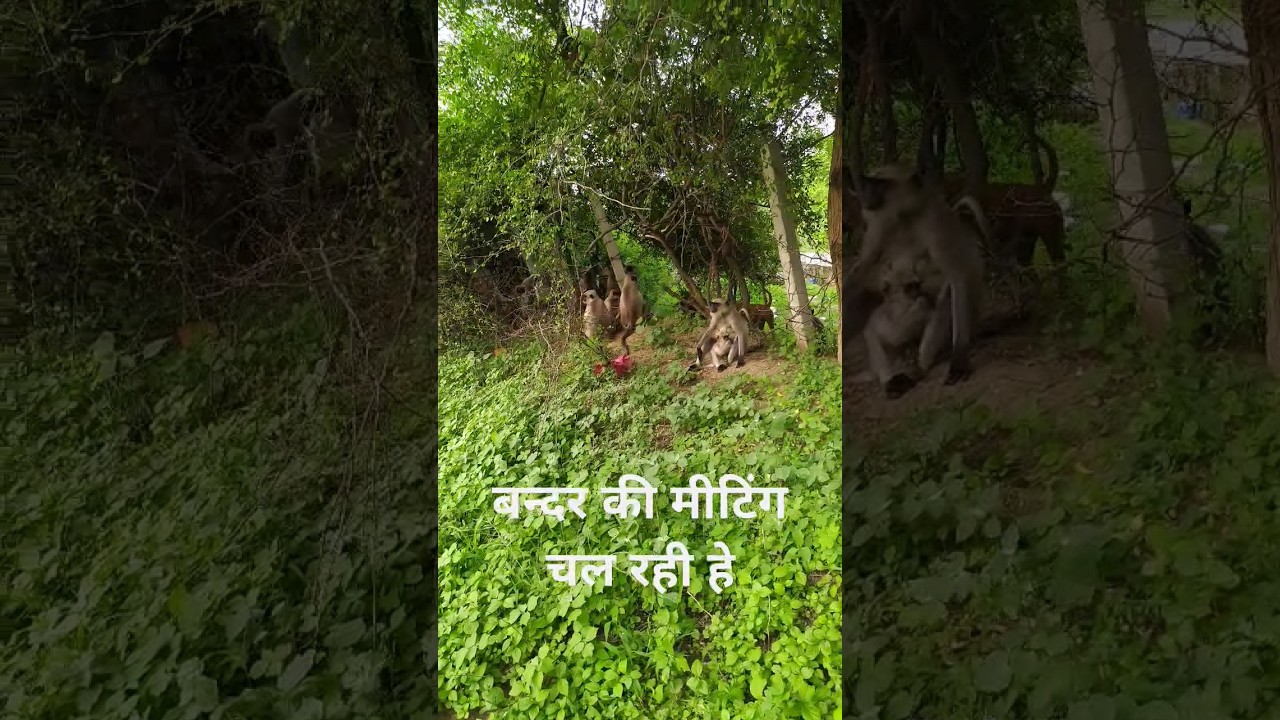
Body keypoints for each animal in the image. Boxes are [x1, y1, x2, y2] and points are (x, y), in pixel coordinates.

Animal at [845, 165, 990, 386]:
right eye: (871, 181)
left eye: (880, 184)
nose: (865, 192)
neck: (905, 216)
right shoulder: (879, 226)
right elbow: (860, 277)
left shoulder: (933, 222)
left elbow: (956, 277)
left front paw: (959, 360)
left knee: (944, 297)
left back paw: (917, 368)